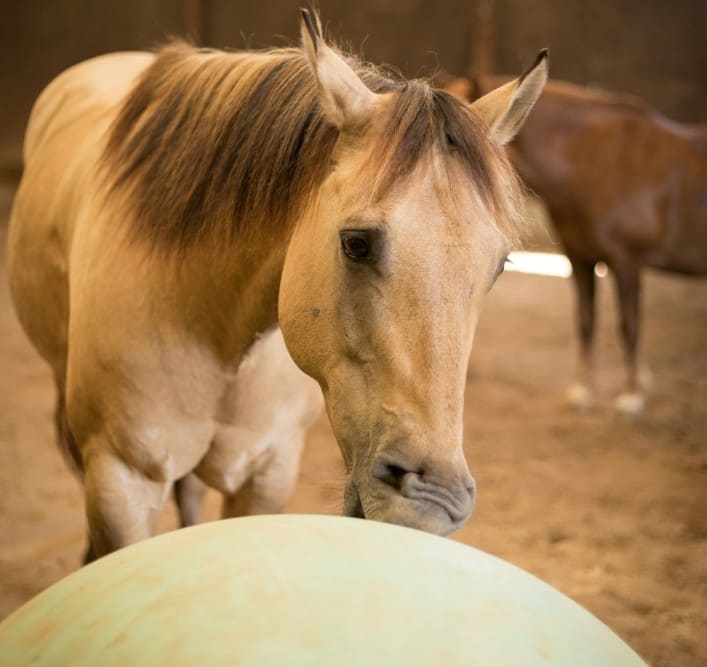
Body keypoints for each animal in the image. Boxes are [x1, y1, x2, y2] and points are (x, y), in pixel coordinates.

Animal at [7, 9, 547, 556]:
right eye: (356, 243)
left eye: (500, 264)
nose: (431, 500)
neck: (212, 323)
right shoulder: (121, 480)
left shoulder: (268, 472)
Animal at [444, 74, 707, 414]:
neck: (594, 161)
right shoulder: (579, 258)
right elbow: (585, 321)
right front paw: (583, 390)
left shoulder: (627, 261)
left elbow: (629, 325)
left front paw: (633, 394)